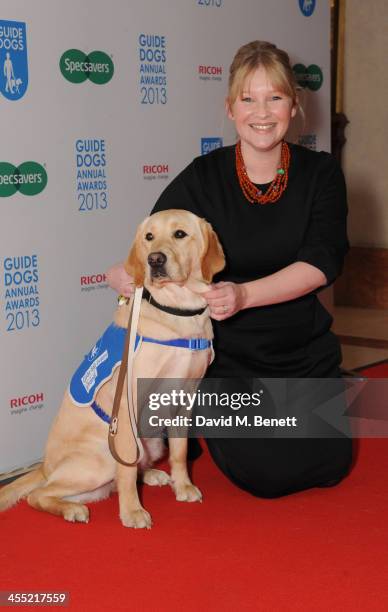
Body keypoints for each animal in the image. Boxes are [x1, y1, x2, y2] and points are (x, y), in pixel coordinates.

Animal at [0, 209, 224, 524]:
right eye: (149, 237)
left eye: (180, 234)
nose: (154, 259)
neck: (178, 311)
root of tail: (44, 465)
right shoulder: (127, 408)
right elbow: (127, 473)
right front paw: (132, 512)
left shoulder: (184, 398)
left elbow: (179, 453)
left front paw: (183, 487)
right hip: (102, 458)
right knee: (40, 494)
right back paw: (72, 509)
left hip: (151, 441)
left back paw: (152, 474)